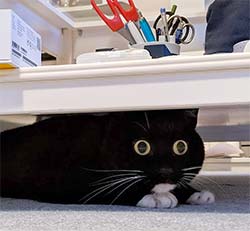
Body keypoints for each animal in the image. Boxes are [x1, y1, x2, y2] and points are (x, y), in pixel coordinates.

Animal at [0, 109, 215, 208]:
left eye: (181, 146)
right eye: (142, 147)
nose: (166, 171)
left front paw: (195, 193)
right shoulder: (64, 182)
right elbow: (108, 190)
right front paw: (156, 197)